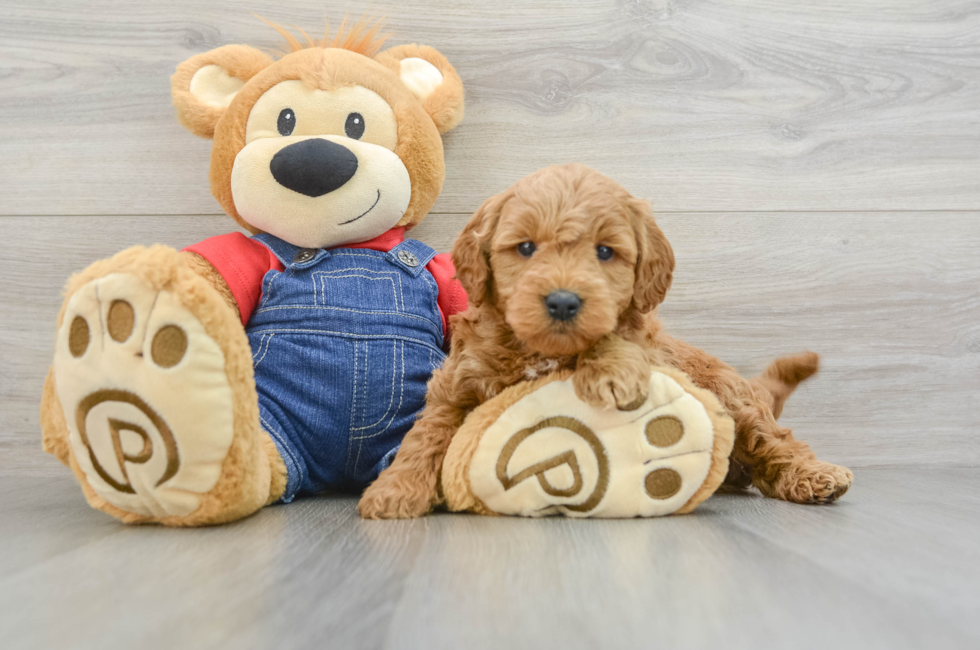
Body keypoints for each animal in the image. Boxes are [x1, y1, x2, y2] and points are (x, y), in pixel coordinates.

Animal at [358, 165, 848, 520]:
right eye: (526, 247)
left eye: (605, 252)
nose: (562, 301)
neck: (543, 351)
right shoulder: (457, 381)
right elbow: (428, 434)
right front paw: (395, 491)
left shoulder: (644, 338)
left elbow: (621, 335)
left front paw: (610, 373)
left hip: (735, 402)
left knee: (776, 443)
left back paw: (815, 477)